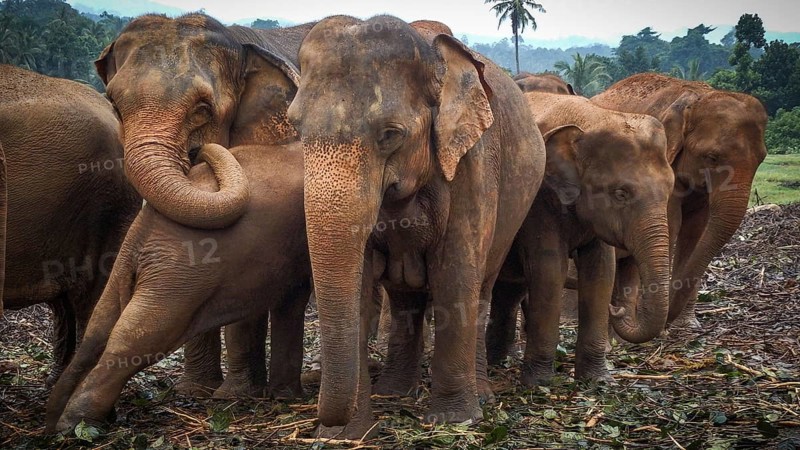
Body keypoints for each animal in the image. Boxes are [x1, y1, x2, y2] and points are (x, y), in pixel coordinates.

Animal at [45, 143, 312, 433]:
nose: (196, 148)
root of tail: (146, 229)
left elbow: (293, 299)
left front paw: (286, 397)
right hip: (179, 275)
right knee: (137, 335)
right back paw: (75, 425)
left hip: (131, 264)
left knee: (100, 327)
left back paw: (53, 422)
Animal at [96, 13, 313, 396]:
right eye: (116, 108)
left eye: (202, 110)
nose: (200, 152)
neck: (239, 42)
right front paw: (195, 391)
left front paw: (234, 395)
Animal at [286, 16, 545, 438]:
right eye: (295, 127)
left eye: (390, 134)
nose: (322, 415)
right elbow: (360, 284)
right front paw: (347, 437)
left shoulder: (473, 160)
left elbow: (454, 275)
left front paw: (455, 420)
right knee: (404, 297)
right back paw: (394, 392)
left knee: (480, 288)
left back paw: (482, 397)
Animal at [485, 92, 674, 385]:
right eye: (621, 193)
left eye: (671, 188)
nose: (617, 308)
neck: (593, 117)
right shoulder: (538, 199)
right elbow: (549, 269)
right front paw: (538, 383)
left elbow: (601, 271)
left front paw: (598, 380)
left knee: (509, 289)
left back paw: (498, 361)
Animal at [591, 73, 768, 328]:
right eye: (712, 157)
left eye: (761, 159)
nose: (666, 323)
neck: (695, 98)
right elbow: (671, 224)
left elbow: (695, 231)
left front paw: (687, 325)